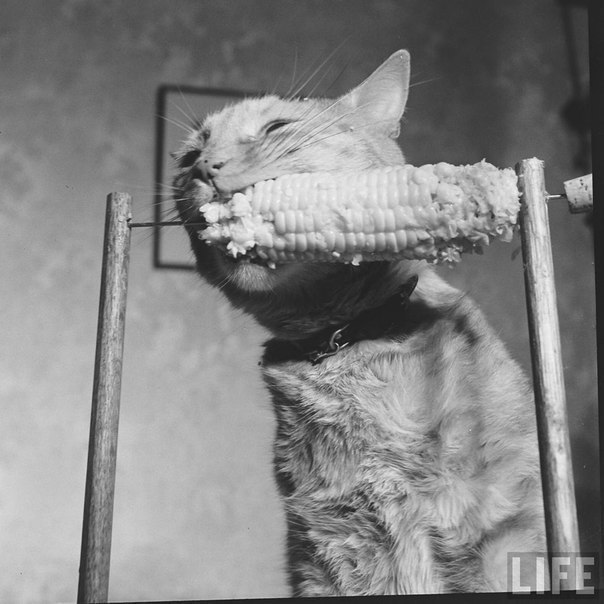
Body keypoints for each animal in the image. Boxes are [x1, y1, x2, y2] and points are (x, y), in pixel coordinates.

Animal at [172, 50, 544, 596]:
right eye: (187, 158)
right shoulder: (321, 556)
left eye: (275, 127)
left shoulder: (503, 537)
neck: (339, 341)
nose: (205, 166)